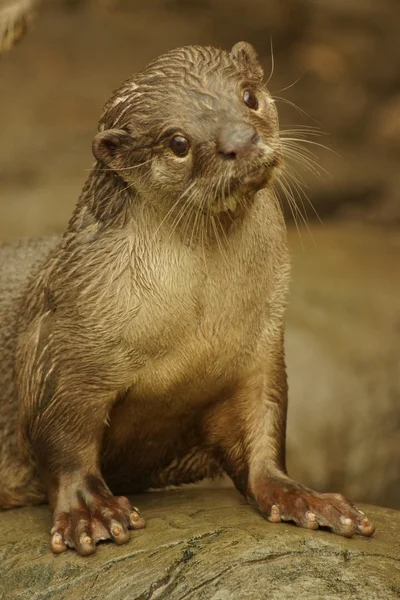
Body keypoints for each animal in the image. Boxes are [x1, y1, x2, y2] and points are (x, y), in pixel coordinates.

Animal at [0, 43, 376, 556]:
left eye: (248, 96)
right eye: (178, 142)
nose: (239, 139)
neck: (193, 327)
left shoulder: (260, 350)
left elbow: (264, 429)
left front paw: (305, 498)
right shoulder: (64, 347)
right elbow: (62, 438)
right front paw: (89, 512)